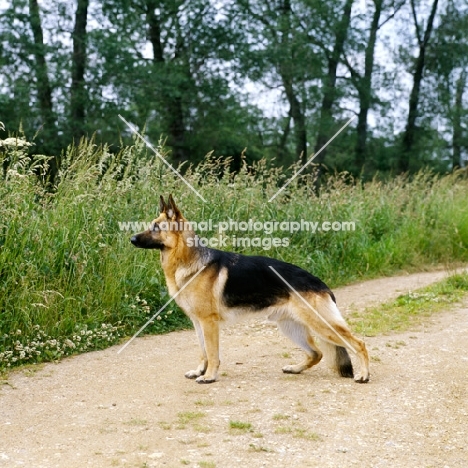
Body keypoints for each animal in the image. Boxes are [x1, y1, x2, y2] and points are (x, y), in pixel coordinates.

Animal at [131, 196, 370, 382]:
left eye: (155, 227)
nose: (131, 238)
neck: (188, 260)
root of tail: (321, 283)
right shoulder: (198, 322)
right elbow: (203, 351)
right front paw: (200, 371)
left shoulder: (209, 323)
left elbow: (212, 352)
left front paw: (209, 376)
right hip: (291, 327)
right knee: (316, 353)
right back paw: (295, 369)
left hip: (321, 325)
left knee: (358, 343)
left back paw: (364, 375)